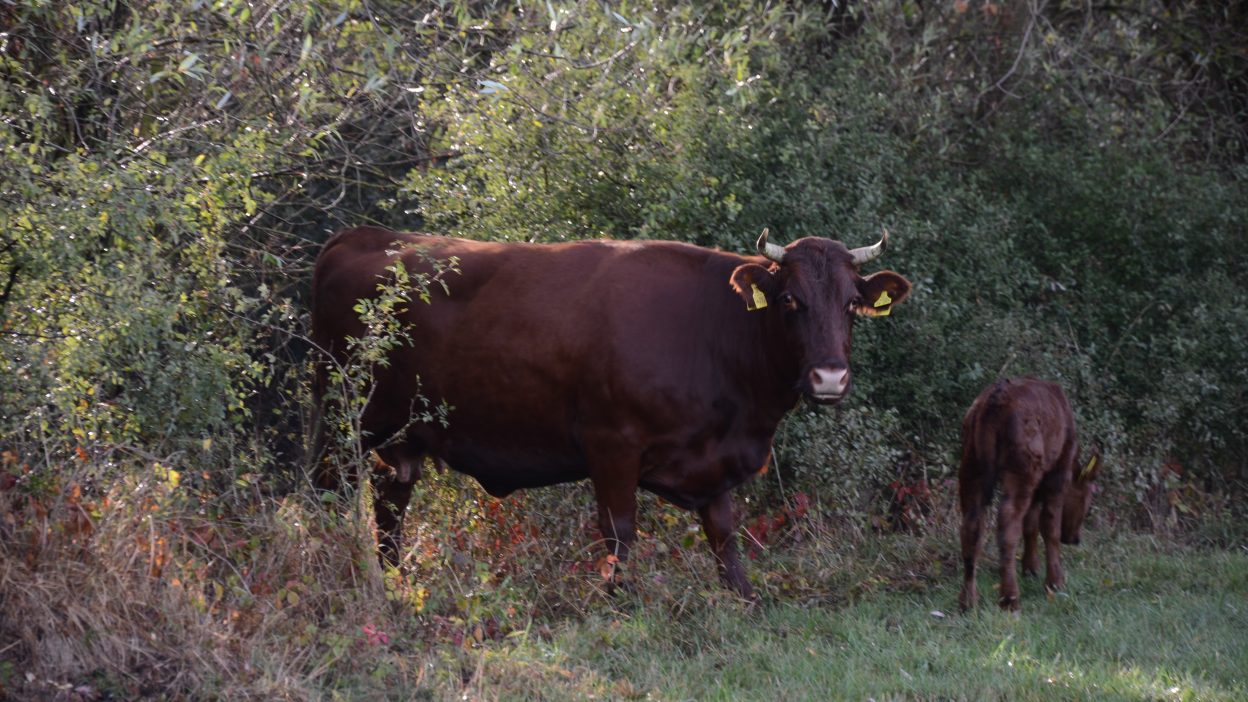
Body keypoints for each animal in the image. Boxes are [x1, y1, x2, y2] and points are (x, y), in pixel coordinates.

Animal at [310, 225, 912, 598]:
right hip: (346, 421)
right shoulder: (612, 442)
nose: (829, 377)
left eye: (851, 304)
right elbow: (620, 530)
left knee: (391, 503)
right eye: (790, 300)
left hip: (402, 437)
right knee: (330, 492)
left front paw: (744, 598)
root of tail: (364, 235)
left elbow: (724, 533)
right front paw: (621, 600)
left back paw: (391, 581)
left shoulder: (714, 460)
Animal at [957, 377, 1101, 611]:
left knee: (971, 525)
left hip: (971, 465)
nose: (1075, 538)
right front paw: (1055, 581)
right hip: (1022, 467)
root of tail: (994, 401)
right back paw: (1010, 598)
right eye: (1088, 500)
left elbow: (1031, 523)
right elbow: (1049, 526)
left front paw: (1031, 568)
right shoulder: (1057, 472)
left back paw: (968, 601)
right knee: (1008, 523)